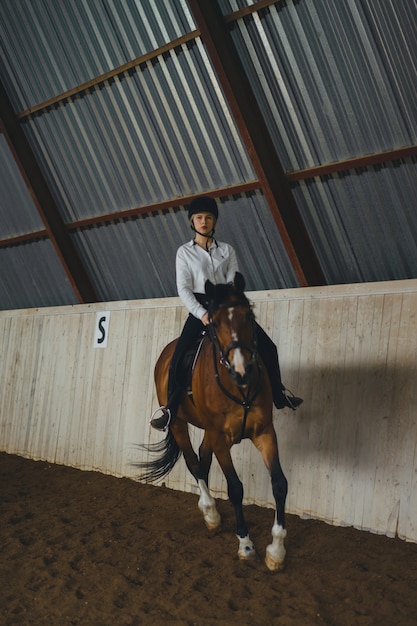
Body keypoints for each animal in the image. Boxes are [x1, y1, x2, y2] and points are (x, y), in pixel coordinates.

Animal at [138, 270, 288, 568]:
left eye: (248, 316)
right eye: (215, 322)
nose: (242, 370)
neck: (239, 387)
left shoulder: (264, 432)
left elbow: (279, 483)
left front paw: (276, 551)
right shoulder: (220, 439)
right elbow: (235, 488)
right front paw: (245, 545)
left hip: (210, 431)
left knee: (202, 458)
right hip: (179, 424)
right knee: (193, 462)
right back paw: (210, 513)